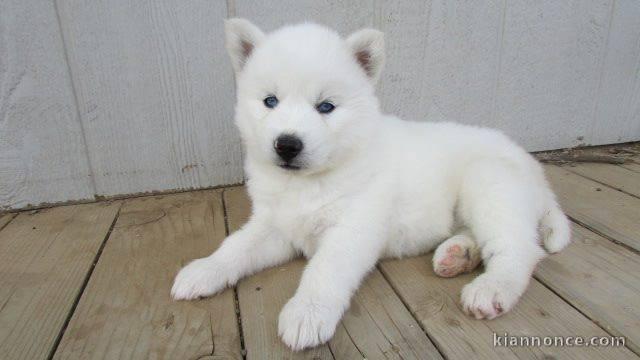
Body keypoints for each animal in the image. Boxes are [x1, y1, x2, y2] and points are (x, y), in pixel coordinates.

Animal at [171, 18, 568, 350]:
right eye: (270, 101)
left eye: (326, 107)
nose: (287, 144)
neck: (309, 182)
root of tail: (534, 169)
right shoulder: (275, 224)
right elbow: (236, 246)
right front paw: (204, 270)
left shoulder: (353, 227)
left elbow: (325, 269)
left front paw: (306, 314)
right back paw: (458, 255)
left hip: (489, 182)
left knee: (519, 248)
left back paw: (491, 288)